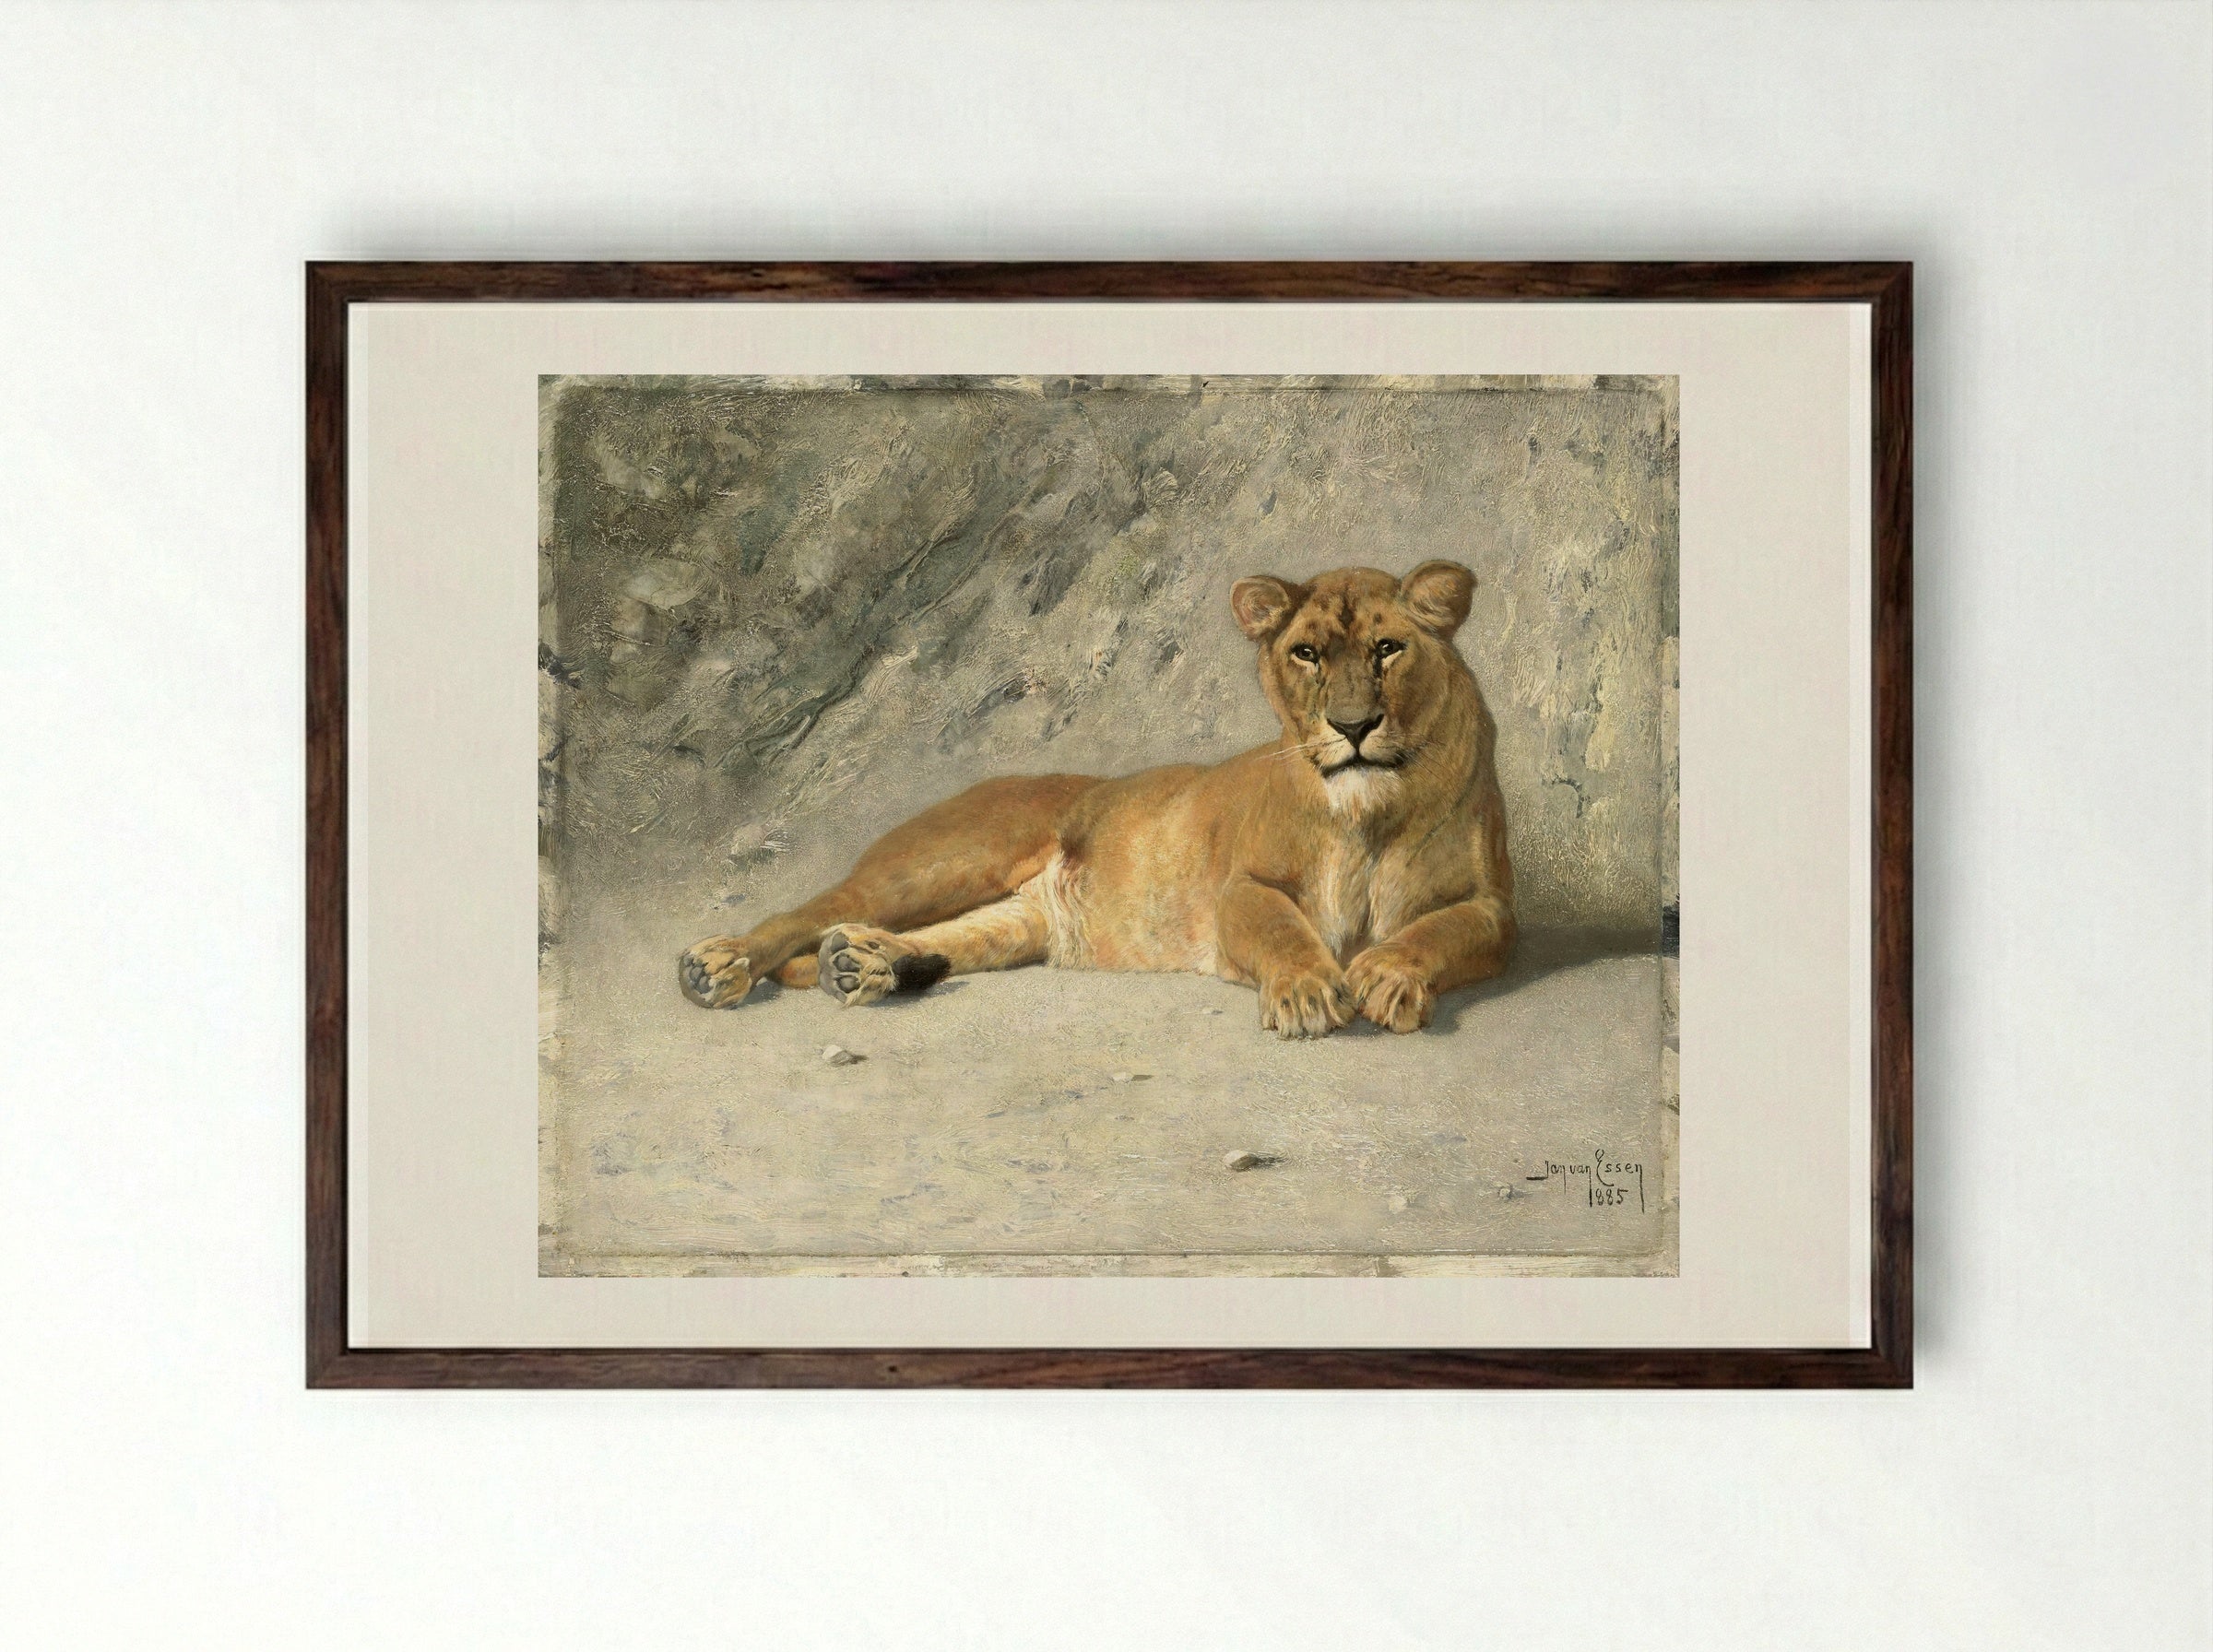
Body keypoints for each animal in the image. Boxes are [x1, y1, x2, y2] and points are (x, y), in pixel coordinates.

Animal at [678, 560, 1515, 1037]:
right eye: (1306, 653)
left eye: (1388, 649)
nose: (1353, 725)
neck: (1370, 812)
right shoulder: (1240, 887)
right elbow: (1281, 927)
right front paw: (1310, 992)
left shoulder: (1494, 908)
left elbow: (1439, 932)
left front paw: (1389, 974)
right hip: (942, 862)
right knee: (816, 910)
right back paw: (718, 966)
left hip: (1018, 922)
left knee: (944, 938)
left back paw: (863, 966)